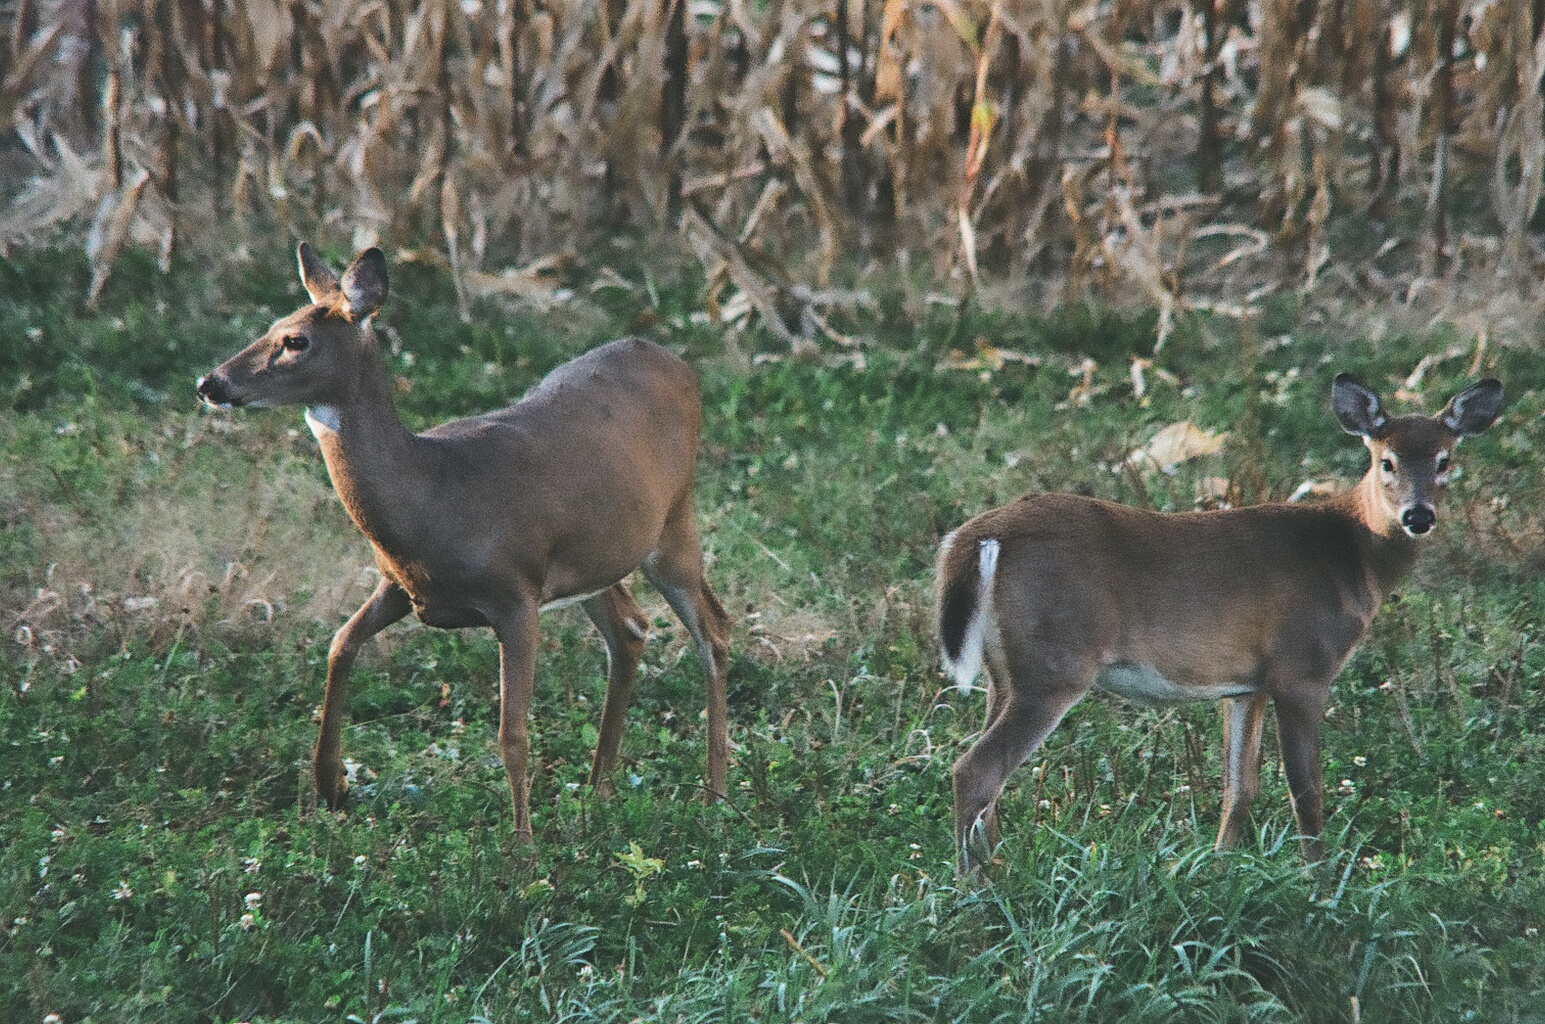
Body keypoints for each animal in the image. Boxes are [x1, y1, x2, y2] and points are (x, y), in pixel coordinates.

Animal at [196, 243, 732, 840]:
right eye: (271, 326)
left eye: (296, 341)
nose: (210, 384)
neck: (434, 496)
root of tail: (678, 364)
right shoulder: (401, 586)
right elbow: (340, 644)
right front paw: (329, 785)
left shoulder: (516, 595)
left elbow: (512, 734)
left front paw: (522, 850)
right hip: (597, 557)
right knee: (632, 628)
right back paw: (599, 789)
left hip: (675, 524)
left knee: (714, 632)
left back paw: (715, 796)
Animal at [935, 373, 1503, 873]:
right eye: (1386, 460)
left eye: (1445, 460)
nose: (1418, 516)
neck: (1348, 552)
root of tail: (979, 536)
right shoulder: (1301, 668)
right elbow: (1306, 787)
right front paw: (1318, 881)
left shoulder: (1246, 685)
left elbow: (1240, 787)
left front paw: (1217, 868)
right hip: (1055, 666)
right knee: (975, 771)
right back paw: (975, 892)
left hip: (1005, 672)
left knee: (987, 780)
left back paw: (997, 871)